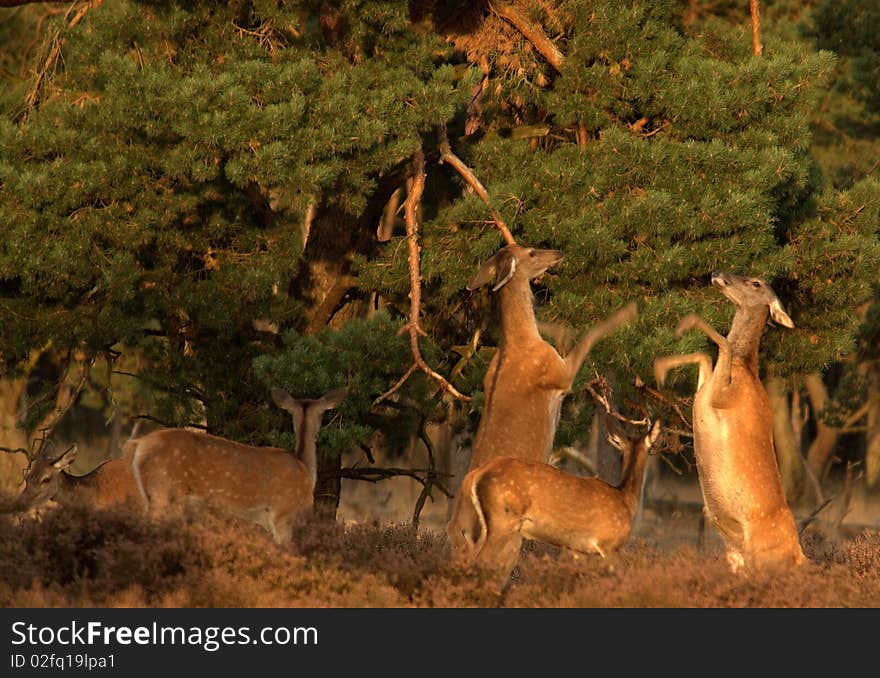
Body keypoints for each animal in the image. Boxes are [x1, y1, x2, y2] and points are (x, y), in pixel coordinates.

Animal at [446, 418, 660, 588]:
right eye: (651, 447)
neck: (625, 498)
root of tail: (475, 474)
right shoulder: (609, 544)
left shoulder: (578, 549)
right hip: (502, 520)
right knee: (479, 563)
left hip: (484, 525)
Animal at [648, 270, 808, 572]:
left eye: (756, 282)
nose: (716, 273)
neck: (745, 368)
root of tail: (799, 555)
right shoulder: (704, 393)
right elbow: (705, 356)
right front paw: (660, 367)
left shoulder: (725, 397)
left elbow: (722, 344)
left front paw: (686, 323)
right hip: (736, 555)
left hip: (761, 555)